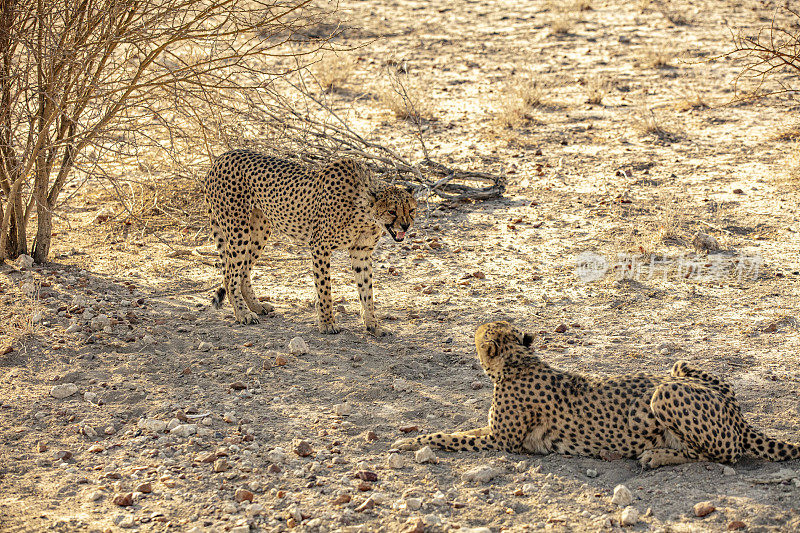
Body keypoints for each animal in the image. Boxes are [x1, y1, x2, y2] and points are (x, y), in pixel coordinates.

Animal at [200, 148, 416, 334]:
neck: (365, 212)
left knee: (242, 270)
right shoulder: (320, 246)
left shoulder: (361, 251)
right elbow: (324, 288)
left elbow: (366, 290)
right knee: (229, 274)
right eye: (392, 211)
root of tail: (221, 157)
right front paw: (327, 323)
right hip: (239, 231)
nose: (405, 226)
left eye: (412, 210)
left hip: (260, 230)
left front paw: (373, 325)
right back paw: (243, 313)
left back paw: (256, 306)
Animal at [394, 320, 800, 466]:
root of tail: (736, 413)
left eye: (480, 336)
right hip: (680, 366)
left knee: (725, 455)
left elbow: (449, 436)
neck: (520, 361)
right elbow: (455, 430)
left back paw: (657, 456)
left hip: (665, 393)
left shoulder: (501, 440)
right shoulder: (495, 433)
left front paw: (409, 442)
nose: (472, 334)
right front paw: (408, 438)